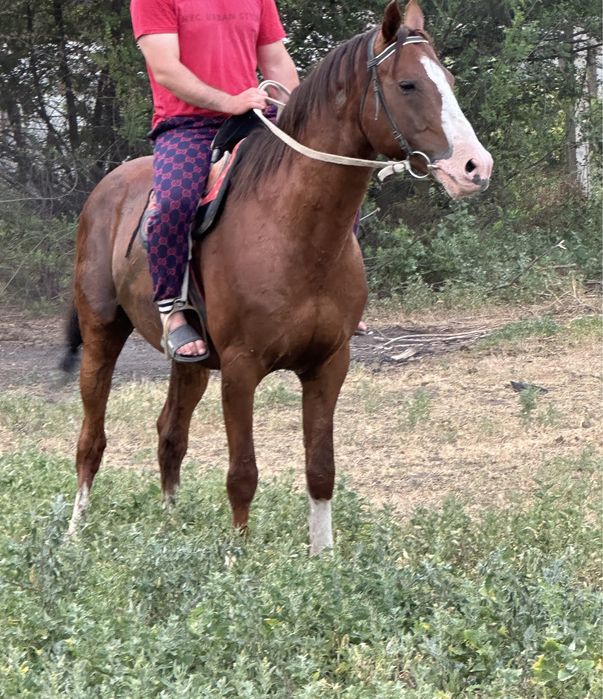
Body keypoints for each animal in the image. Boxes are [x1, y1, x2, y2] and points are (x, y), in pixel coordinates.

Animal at [63, 0, 493, 553]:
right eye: (408, 85)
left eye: (450, 79)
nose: (475, 167)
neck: (291, 229)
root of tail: (104, 191)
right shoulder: (241, 369)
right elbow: (242, 474)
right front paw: (237, 560)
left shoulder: (329, 365)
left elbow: (321, 468)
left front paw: (323, 558)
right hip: (101, 335)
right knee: (91, 438)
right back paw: (75, 532)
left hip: (191, 364)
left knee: (170, 434)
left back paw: (170, 530)